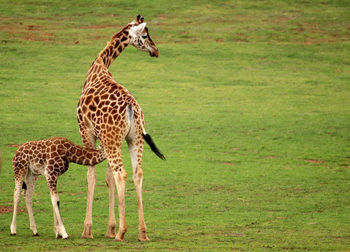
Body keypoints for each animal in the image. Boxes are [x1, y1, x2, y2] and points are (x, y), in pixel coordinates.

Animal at [76, 14, 164, 242]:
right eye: (145, 35)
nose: (155, 50)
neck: (100, 65)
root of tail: (132, 108)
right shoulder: (105, 139)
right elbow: (107, 177)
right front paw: (109, 228)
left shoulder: (87, 132)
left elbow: (92, 177)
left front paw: (88, 229)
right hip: (134, 139)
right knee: (137, 173)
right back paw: (142, 233)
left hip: (113, 138)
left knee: (121, 174)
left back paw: (122, 232)